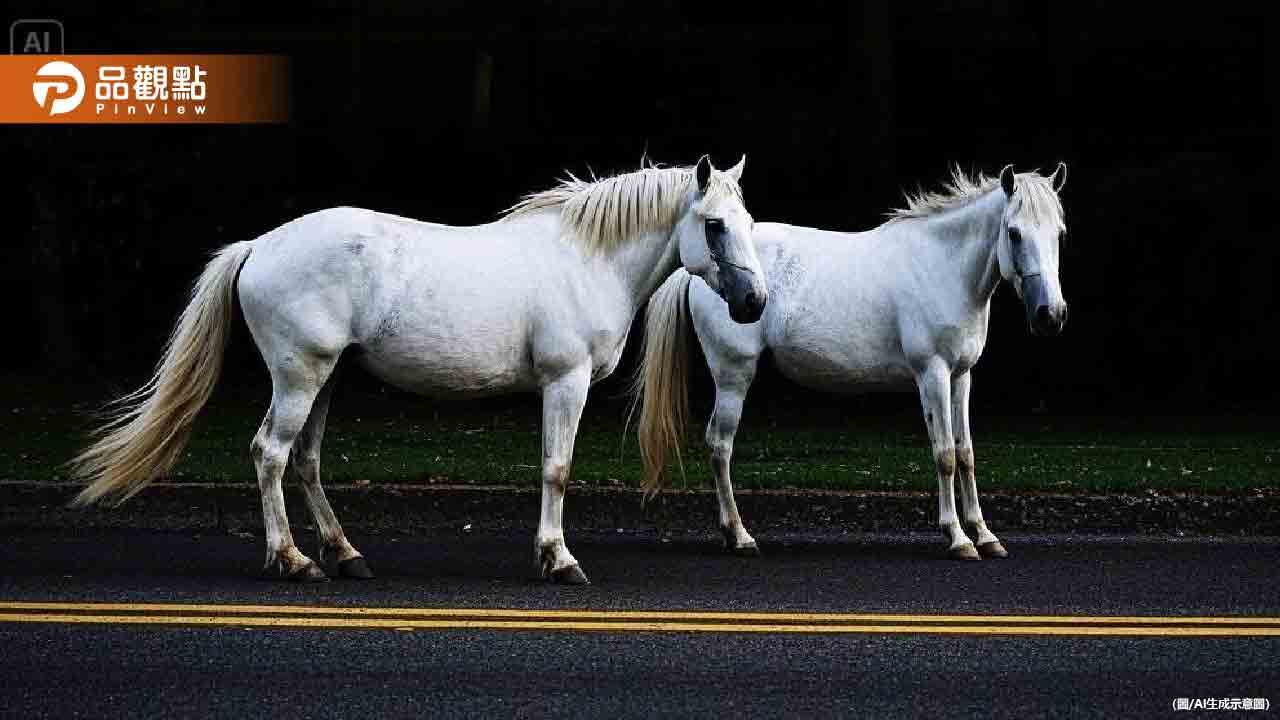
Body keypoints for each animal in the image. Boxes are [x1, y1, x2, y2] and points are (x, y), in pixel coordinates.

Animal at [70, 156, 769, 585]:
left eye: (749, 223)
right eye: (714, 225)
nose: (754, 303)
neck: (587, 260)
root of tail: (259, 245)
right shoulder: (563, 383)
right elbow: (557, 469)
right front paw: (558, 558)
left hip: (326, 378)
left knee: (306, 461)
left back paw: (345, 554)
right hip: (299, 376)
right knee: (270, 453)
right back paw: (292, 559)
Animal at [633, 164, 1068, 560]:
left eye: (1059, 233)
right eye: (1014, 232)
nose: (1051, 314)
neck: (943, 267)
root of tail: (697, 275)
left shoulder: (961, 377)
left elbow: (966, 454)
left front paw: (985, 535)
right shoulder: (933, 375)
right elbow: (944, 454)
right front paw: (958, 538)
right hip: (732, 377)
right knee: (720, 445)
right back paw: (739, 535)